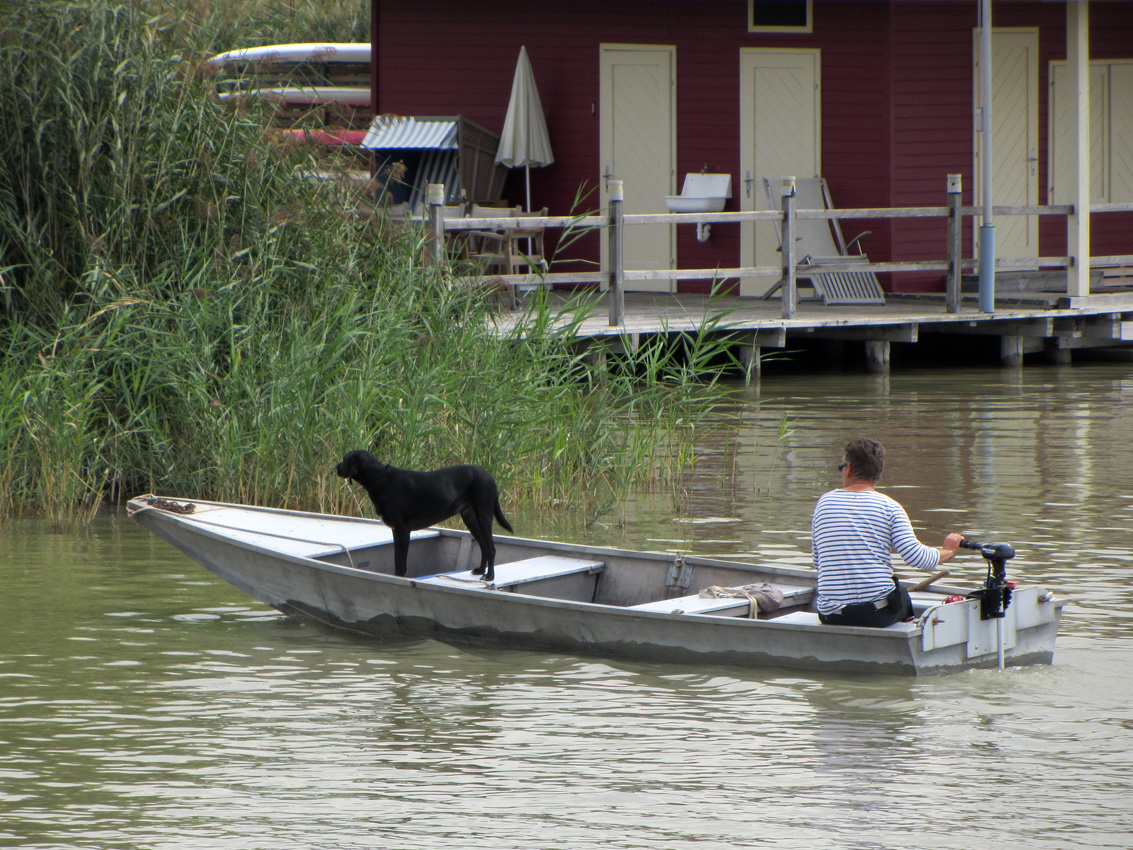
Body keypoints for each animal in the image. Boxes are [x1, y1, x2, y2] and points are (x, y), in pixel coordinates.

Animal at [335, 448, 514, 584]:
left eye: (345, 459)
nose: (336, 467)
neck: (382, 480)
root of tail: (490, 477)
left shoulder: (402, 529)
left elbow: (400, 562)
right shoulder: (395, 530)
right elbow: (397, 560)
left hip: (484, 516)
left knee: (491, 548)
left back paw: (489, 576)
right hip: (470, 518)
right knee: (483, 546)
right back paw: (480, 570)